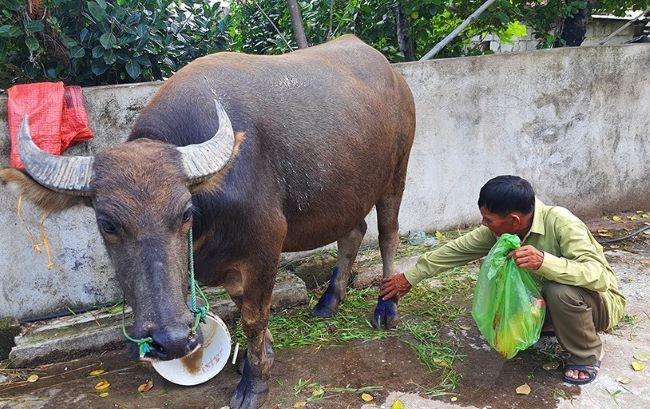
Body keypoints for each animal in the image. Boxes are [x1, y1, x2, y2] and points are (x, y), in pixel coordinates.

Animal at [0, 35, 412, 408]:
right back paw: (328, 302)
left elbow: (253, 316)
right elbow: (242, 303)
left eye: (185, 213)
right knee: (353, 232)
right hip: (348, 191)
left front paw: (254, 381)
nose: (171, 340)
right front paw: (262, 355)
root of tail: (393, 74)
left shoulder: (266, 246)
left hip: (397, 172)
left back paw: (386, 309)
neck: (208, 221)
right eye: (107, 224)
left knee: (387, 235)